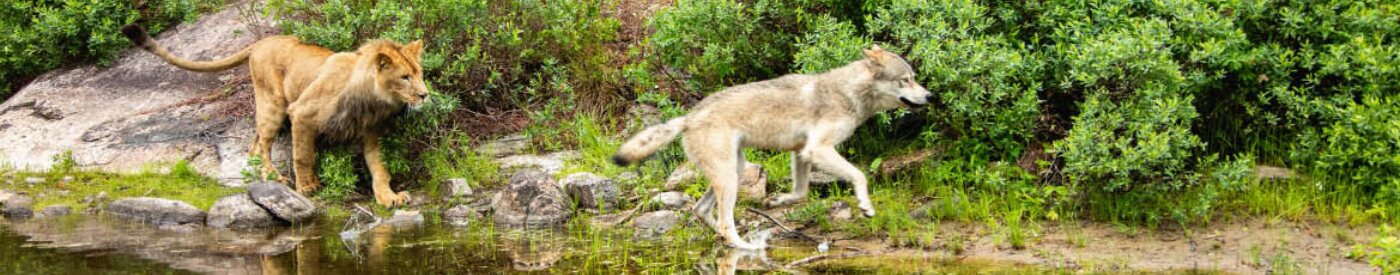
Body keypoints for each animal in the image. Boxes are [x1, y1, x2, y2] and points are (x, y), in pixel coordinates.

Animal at [122, 25, 428, 206]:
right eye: (405, 77)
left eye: (420, 74)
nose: (425, 94)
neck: (373, 99)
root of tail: (262, 41)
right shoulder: (302, 113)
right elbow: (303, 155)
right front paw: (307, 187)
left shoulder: (372, 131)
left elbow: (379, 168)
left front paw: (389, 196)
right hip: (274, 103)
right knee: (260, 144)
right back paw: (274, 177)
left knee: (254, 144)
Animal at [610, 45, 929, 249]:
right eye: (906, 80)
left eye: (914, 78)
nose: (930, 96)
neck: (849, 92)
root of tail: (689, 117)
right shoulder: (818, 149)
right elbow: (860, 175)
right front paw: (865, 206)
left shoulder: (802, 152)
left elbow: (800, 193)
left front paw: (777, 202)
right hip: (730, 177)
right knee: (724, 222)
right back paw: (745, 247)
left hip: (735, 171)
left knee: (702, 212)